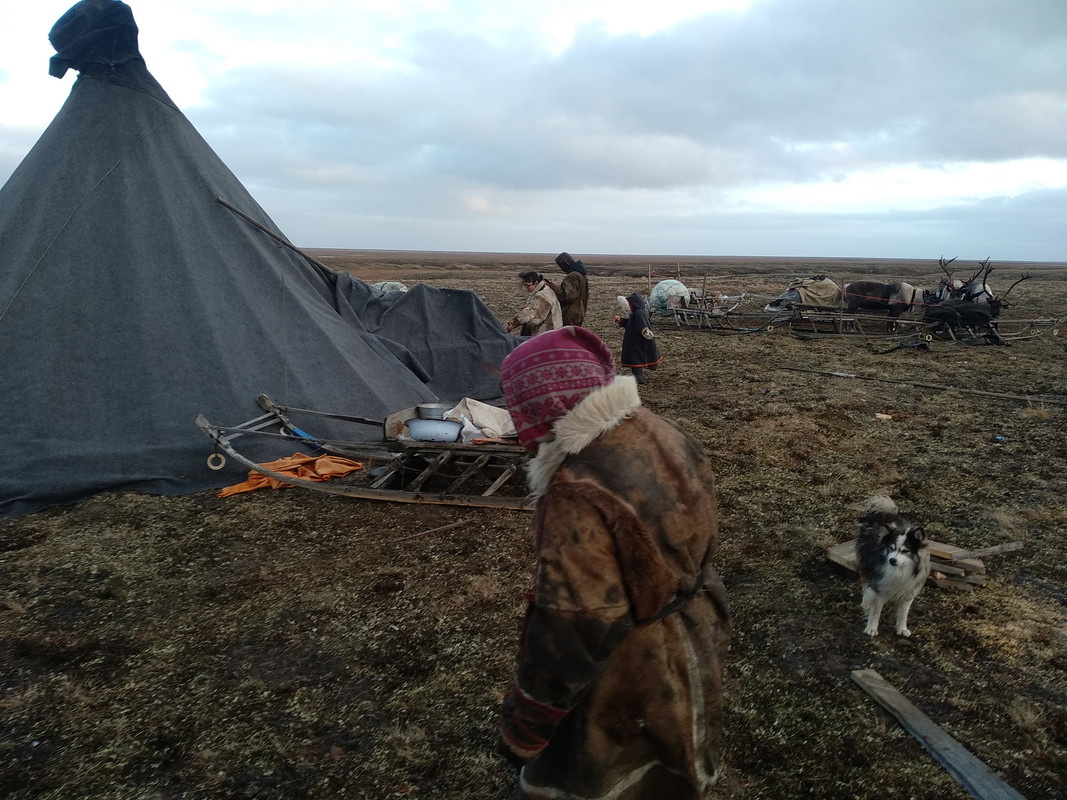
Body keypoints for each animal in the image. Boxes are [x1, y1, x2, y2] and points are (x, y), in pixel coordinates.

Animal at [853, 494, 930, 640]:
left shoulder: (908, 593)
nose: (892, 560)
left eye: (905, 551)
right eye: (891, 548)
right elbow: (876, 611)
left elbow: (903, 614)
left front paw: (902, 628)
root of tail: (885, 512)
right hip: (866, 563)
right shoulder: (879, 587)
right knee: (865, 582)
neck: (899, 571)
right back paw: (866, 602)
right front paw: (871, 628)